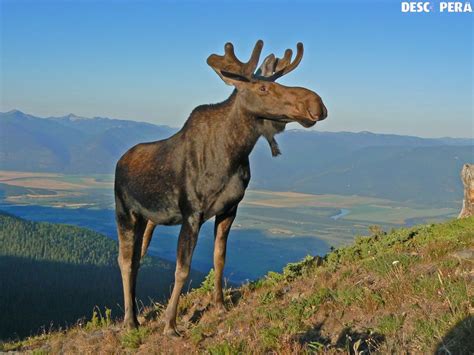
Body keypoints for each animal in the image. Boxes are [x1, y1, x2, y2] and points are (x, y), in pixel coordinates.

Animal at [115, 39, 328, 336]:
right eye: (263, 88)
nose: (316, 103)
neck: (232, 153)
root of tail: (120, 161)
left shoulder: (230, 209)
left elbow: (219, 258)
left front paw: (219, 305)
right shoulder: (191, 214)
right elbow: (182, 269)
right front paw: (170, 324)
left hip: (148, 220)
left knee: (137, 258)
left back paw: (134, 315)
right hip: (125, 212)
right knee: (124, 260)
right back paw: (130, 321)